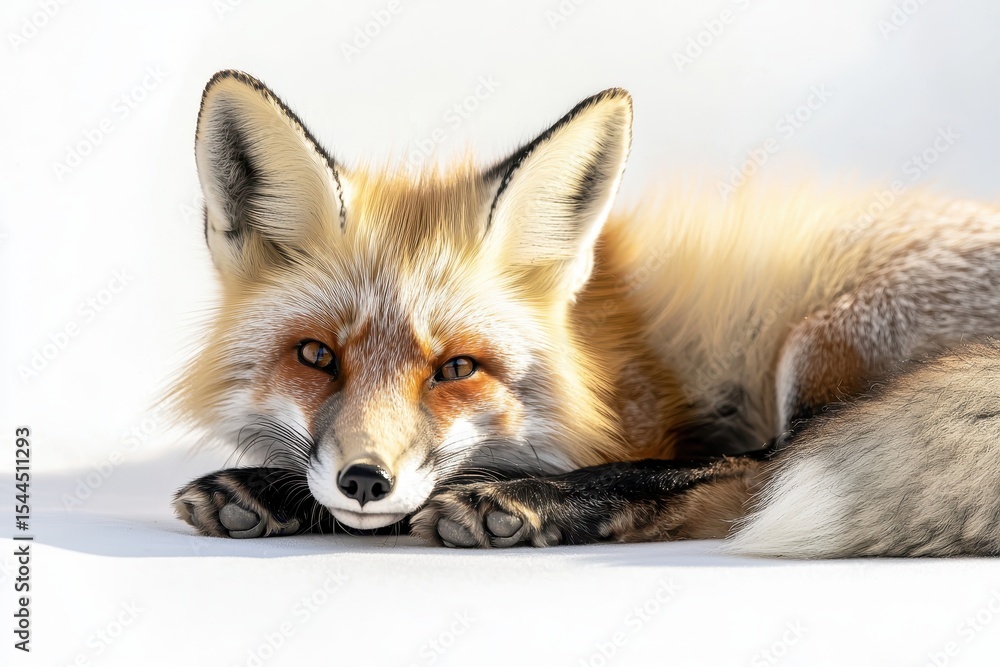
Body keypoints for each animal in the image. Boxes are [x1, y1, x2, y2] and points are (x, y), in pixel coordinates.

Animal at [172, 69, 1000, 557]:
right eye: (316, 356)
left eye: (457, 368)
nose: (365, 481)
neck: (595, 339)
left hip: (823, 338)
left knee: (757, 469)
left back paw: (525, 506)